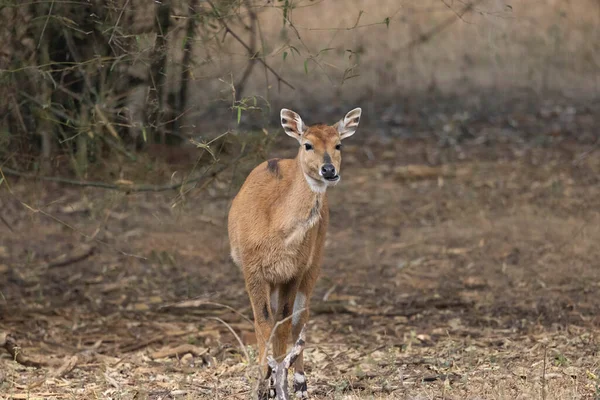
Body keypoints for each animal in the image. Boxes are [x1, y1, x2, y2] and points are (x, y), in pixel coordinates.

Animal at [227, 106, 360, 396]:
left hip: (315, 260)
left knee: (301, 316)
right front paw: (263, 384)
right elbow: (263, 322)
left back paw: (300, 383)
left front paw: (280, 383)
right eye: (307, 144)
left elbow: (285, 322)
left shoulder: (295, 270)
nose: (329, 170)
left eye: (339, 144)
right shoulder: (253, 270)